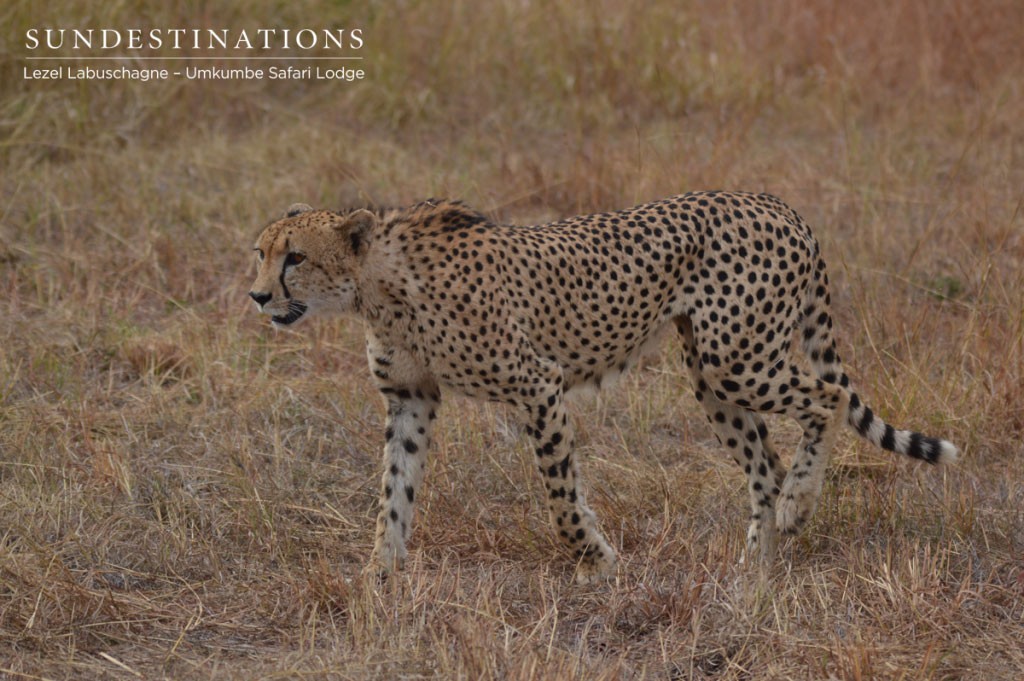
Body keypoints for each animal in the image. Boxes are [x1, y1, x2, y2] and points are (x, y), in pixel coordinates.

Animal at [249, 192, 958, 583]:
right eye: (259, 252)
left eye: (295, 258)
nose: (256, 297)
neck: (378, 285)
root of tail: (778, 205)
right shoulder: (411, 399)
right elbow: (394, 494)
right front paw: (379, 575)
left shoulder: (540, 384)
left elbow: (561, 495)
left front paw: (595, 557)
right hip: (712, 375)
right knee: (766, 463)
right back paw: (757, 566)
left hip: (739, 357)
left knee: (826, 400)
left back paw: (799, 508)